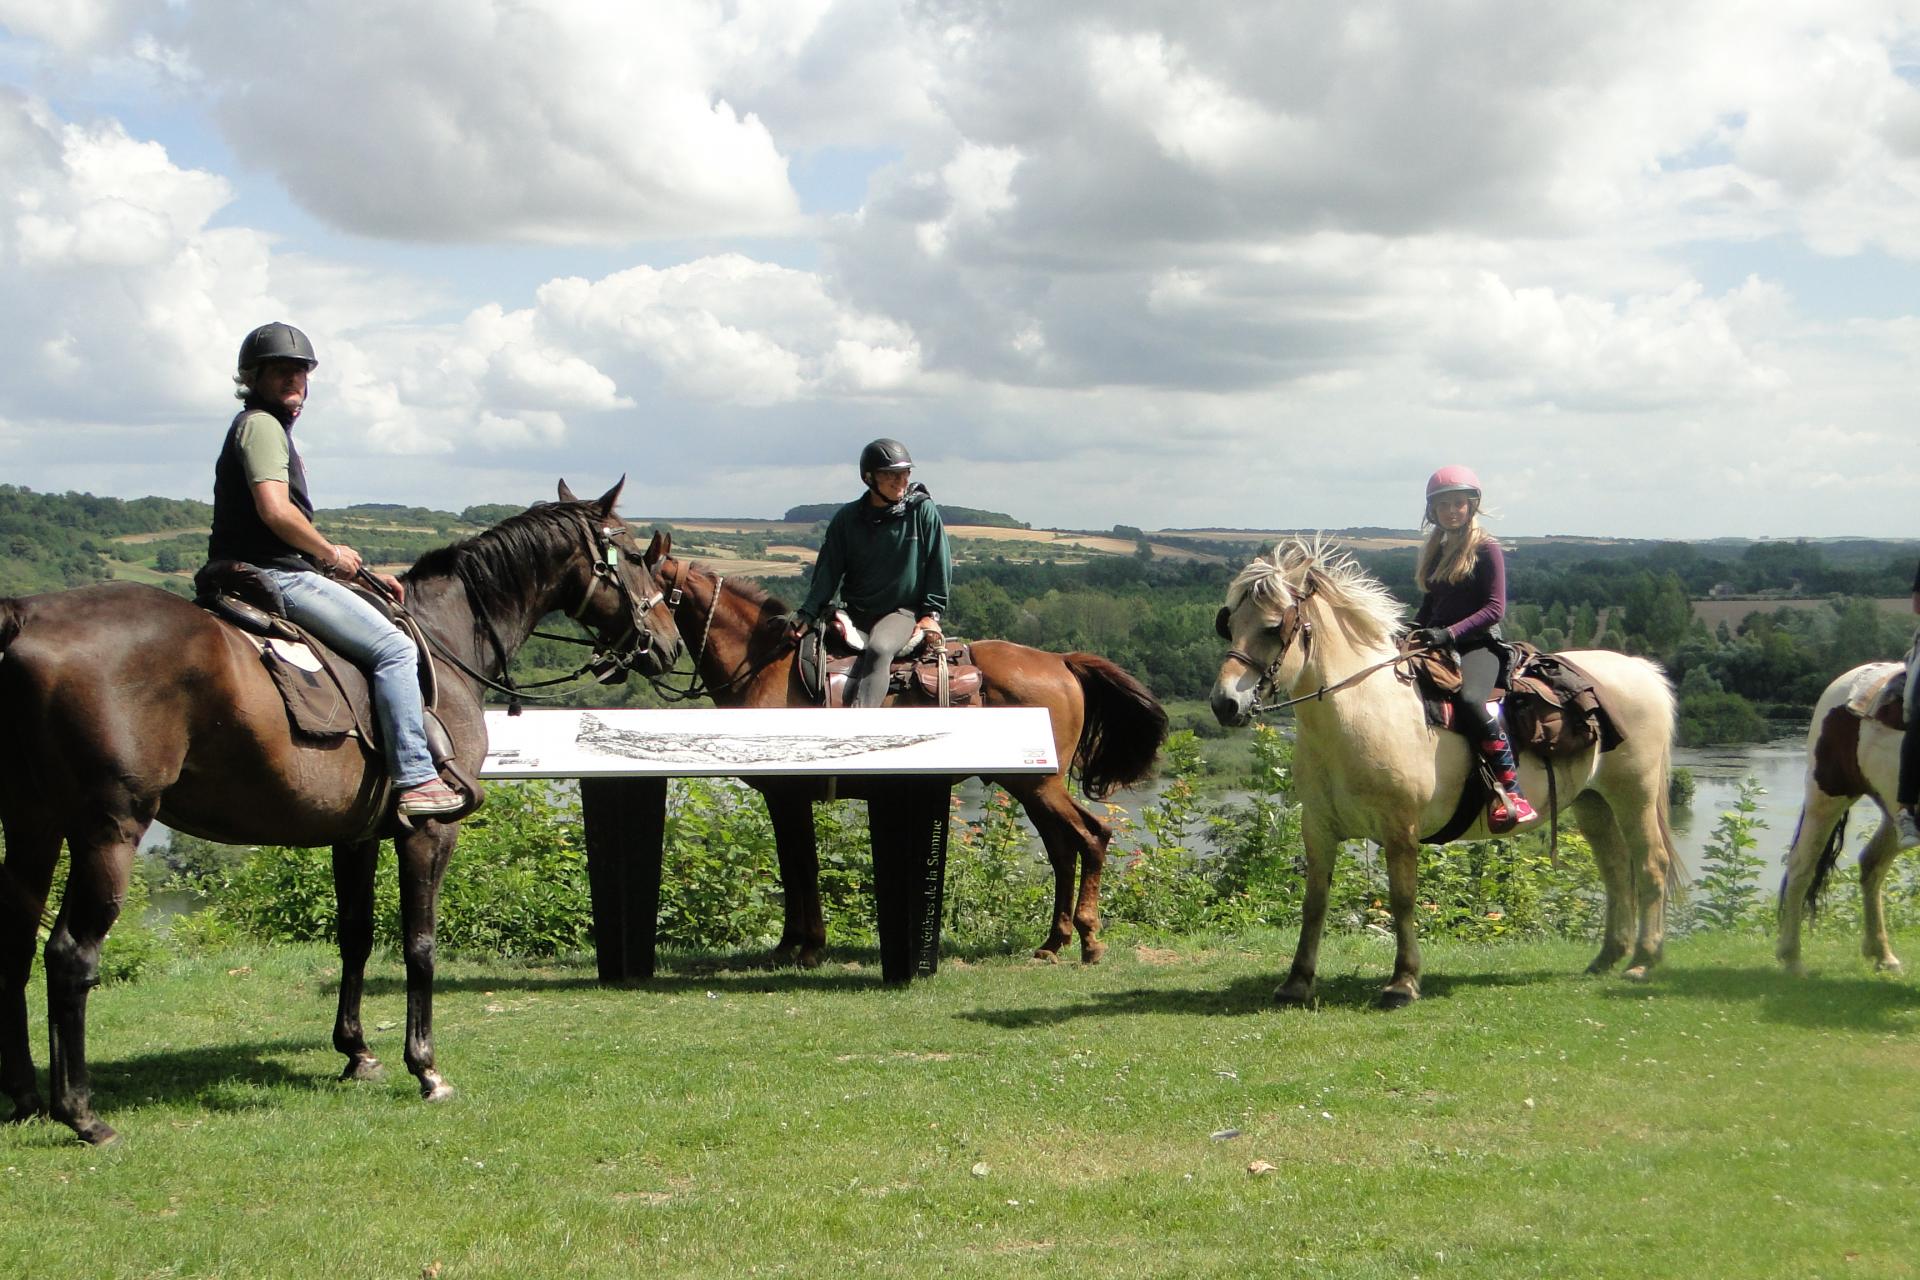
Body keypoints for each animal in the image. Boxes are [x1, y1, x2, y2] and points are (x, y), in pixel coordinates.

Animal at [0, 479, 687, 1143]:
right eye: (633, 554)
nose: (669, 643)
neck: (445, 639)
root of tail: (25, 617)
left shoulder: (354, 836)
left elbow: (354, 936)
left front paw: (356, 1052)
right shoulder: (429, 833)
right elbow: (419, 945)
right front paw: (425, 1067)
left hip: (34, 825)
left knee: (17, 945)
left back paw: (27, 1098)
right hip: (108, 832)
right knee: (70, 956)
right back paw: (80, 1113)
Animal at [648, 537, 1167, 967]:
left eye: (639, 586)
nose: (652, 653)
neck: (765, 665)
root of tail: (1060, 660)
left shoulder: (790, 795)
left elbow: (801, 866)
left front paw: (805, 946)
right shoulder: (782, 797)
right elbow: (792, 864)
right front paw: (791, 943)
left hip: (1041, 784)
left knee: (1091, 837)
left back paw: (1089, 939)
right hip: (1031, 785)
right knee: (1063, 849)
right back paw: (1054, 942)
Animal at [1774, 667, 1912, 974]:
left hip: (1894, 814)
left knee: (1872, 862)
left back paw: (1882, 954)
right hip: (1826, 797)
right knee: (1801, 866)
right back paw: (1792, 959)